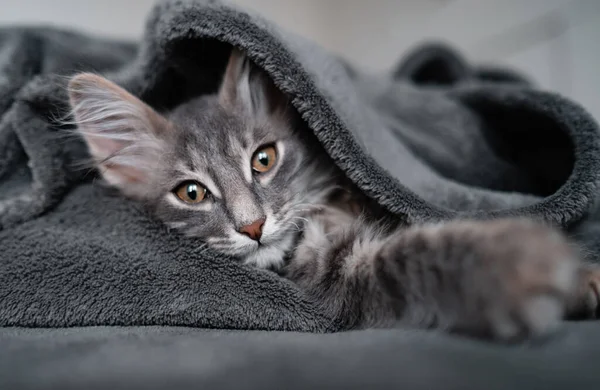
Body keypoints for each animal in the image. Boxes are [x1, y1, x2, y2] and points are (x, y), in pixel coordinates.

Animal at [68, 48, 596, 342]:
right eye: (191, 193)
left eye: (264, 160)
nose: (253, 226)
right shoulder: (338, 277)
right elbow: (418, 252)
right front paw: (524, 261)